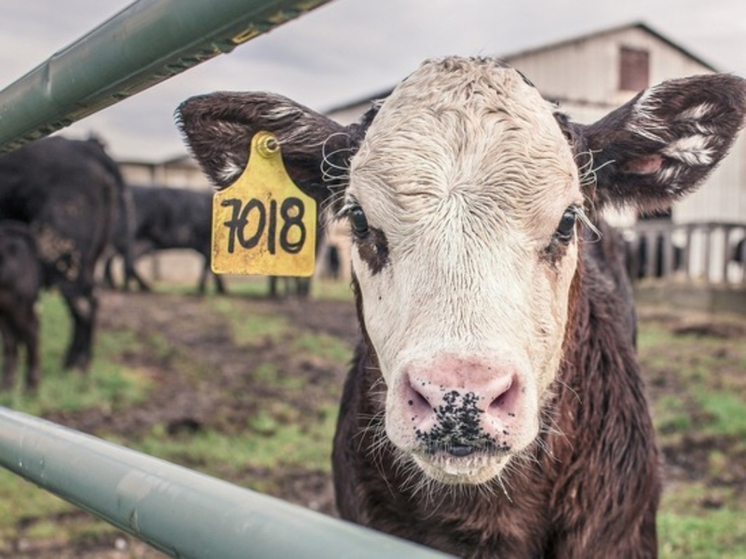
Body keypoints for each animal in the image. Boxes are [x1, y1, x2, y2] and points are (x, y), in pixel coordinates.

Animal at [0, 137, 125, 372]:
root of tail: (85, 146)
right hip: (87, 259)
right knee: (90, 299)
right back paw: (76, 361)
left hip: (61, 254)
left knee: (82, 304)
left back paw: (76, 364)